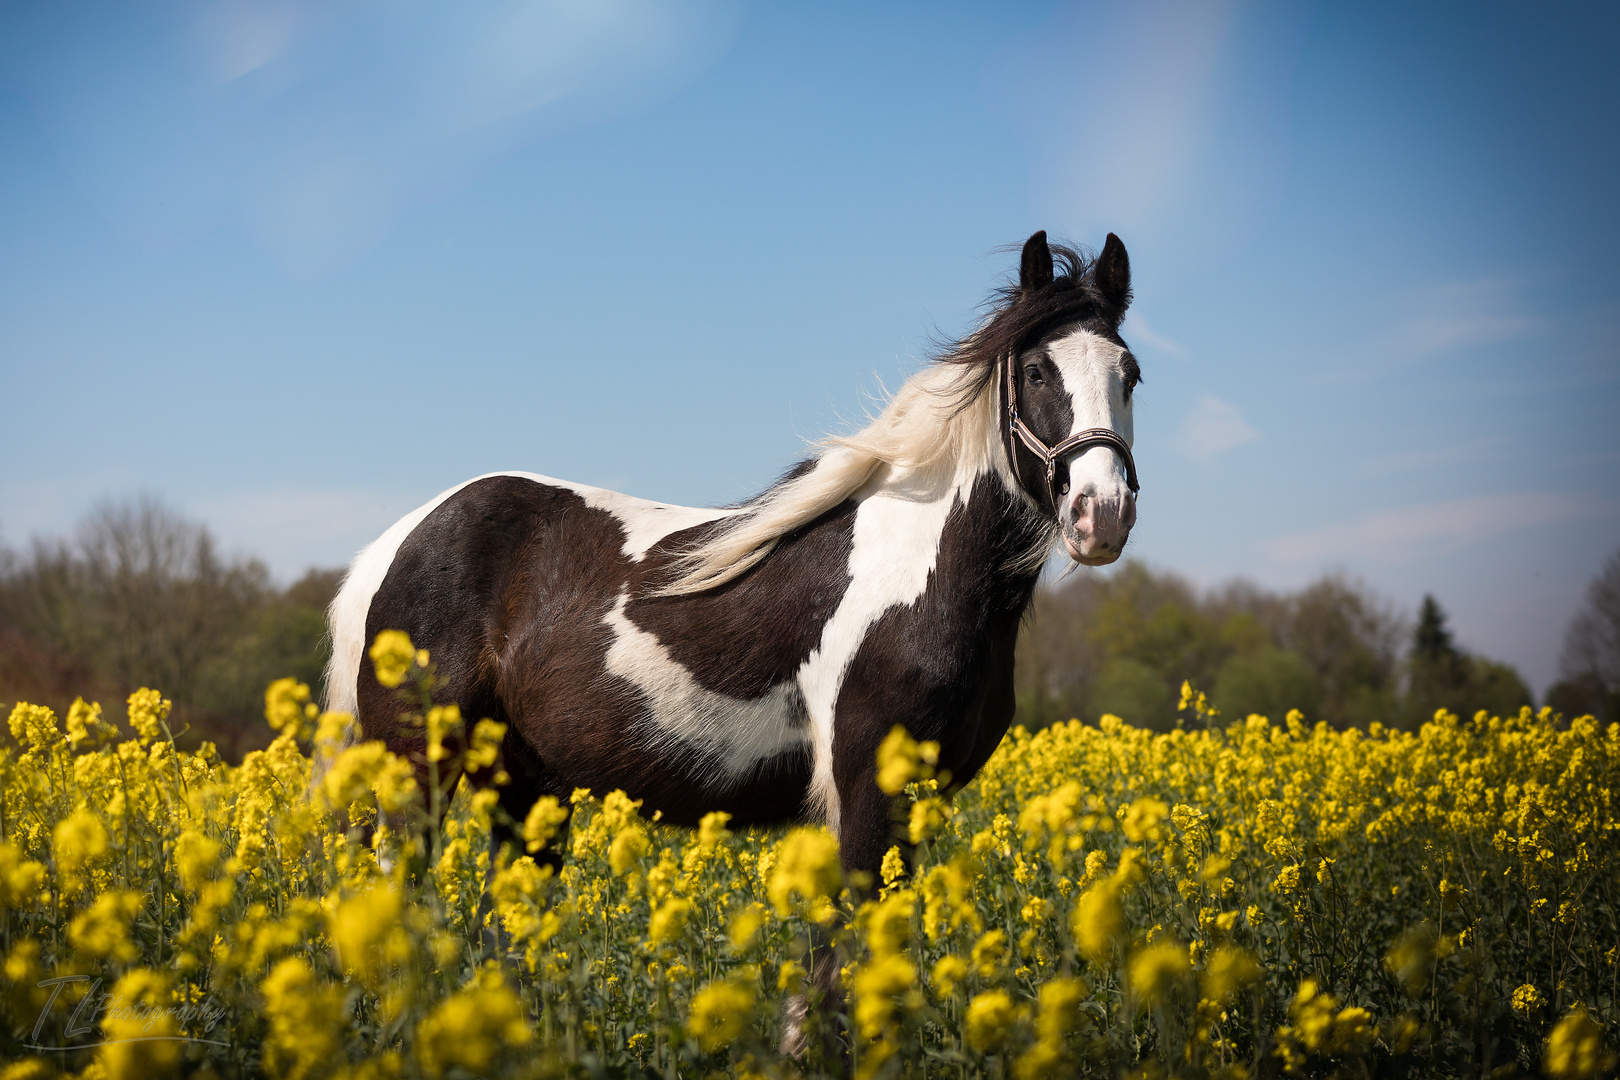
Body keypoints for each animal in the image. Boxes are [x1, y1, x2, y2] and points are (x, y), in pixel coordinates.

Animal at [325, 229, 1140, 880]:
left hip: (525, 790)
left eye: (1129, 374)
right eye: (1036, 372)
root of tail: (398, 542)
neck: (917, 573)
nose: (1101, 513)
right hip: (415, 778)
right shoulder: (865, 797)